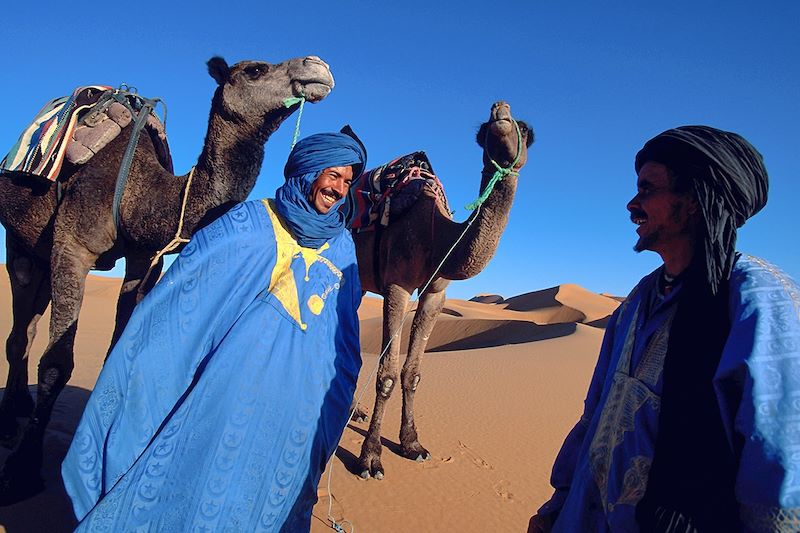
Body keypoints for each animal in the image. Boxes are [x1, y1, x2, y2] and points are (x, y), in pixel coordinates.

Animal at [354, 101, 532, 478]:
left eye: (525, 129)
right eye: (484, 131)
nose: (500, 111)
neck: (438, 236)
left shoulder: (435, 294)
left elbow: (413, 372)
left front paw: (411, 444)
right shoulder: (397, 285)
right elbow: (387, 373)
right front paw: (370, 458)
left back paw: (354, 411)